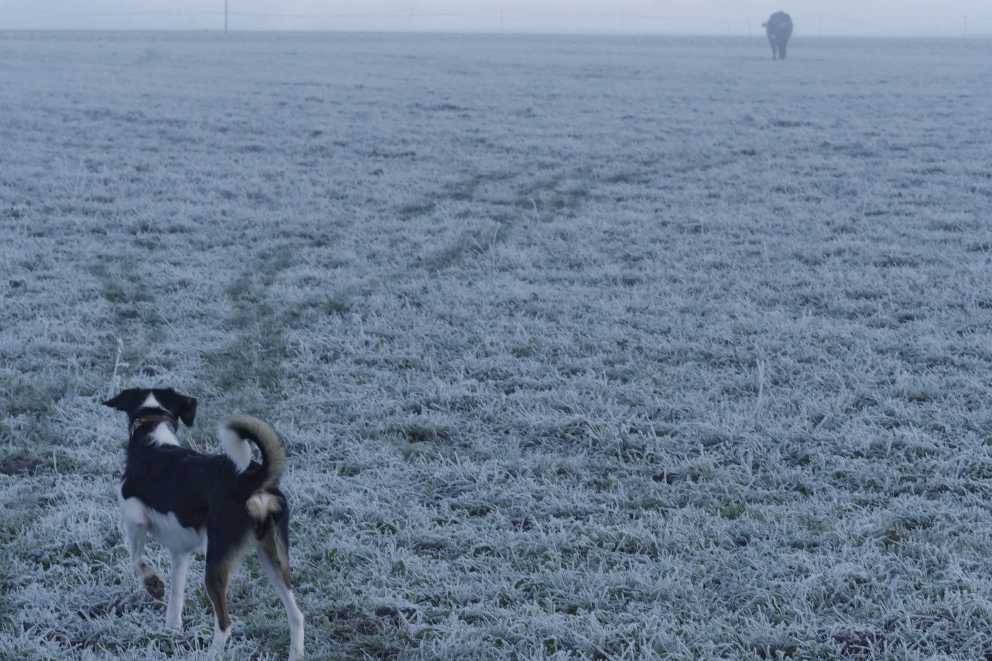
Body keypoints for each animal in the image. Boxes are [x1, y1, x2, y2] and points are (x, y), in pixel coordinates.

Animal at [101, 386, 304, 660]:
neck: (152, 432)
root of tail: (255, 481)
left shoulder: (135, 518)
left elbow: (136, 559)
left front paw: (153, 584)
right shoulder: (180, 552)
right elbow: (175, 598)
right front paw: (171, 631)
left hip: (217, 562)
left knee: (225, 624)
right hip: (273, 558)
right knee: (297, 616)